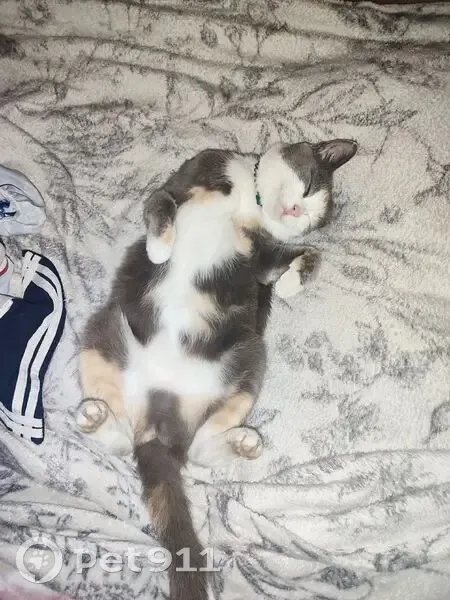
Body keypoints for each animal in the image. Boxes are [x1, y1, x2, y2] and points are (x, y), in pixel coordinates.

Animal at [75, 139, 357, 600]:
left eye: (312, 219)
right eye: (309, 183)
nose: (296, 212)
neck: (248, 200)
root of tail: (160, 418)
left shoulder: (261, 255)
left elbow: (300, 257)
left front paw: (291, 283)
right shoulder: (190, 174)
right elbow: (160, 203)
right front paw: (159, 247)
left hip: (249, 355)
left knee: (194, 450)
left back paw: (242, 442)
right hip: (106, 325)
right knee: (123, 438)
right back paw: (96, 415)